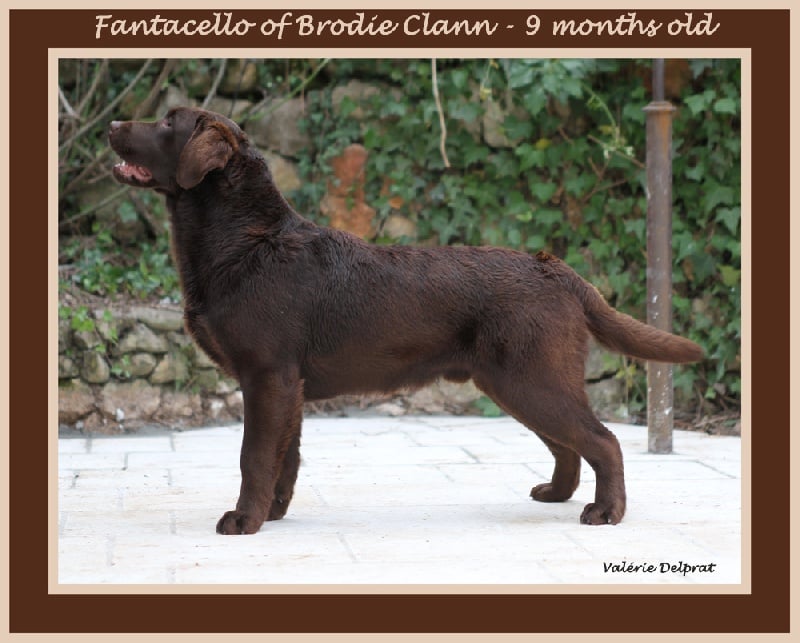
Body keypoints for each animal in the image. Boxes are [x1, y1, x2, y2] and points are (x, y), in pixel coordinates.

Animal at [108, 106, 703, 534]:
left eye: (168, 122)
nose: (113, 125)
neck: (247, 240)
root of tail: (555, 268)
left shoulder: (266, 376)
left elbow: (253, 456)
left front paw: (243, 521)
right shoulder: (287, 385)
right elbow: (285, 458)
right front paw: (272, 514)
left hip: (532, 379)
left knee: (602, 441)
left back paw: (606, 513)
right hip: (519, 382)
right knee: (568, 445)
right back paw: (556, 495)